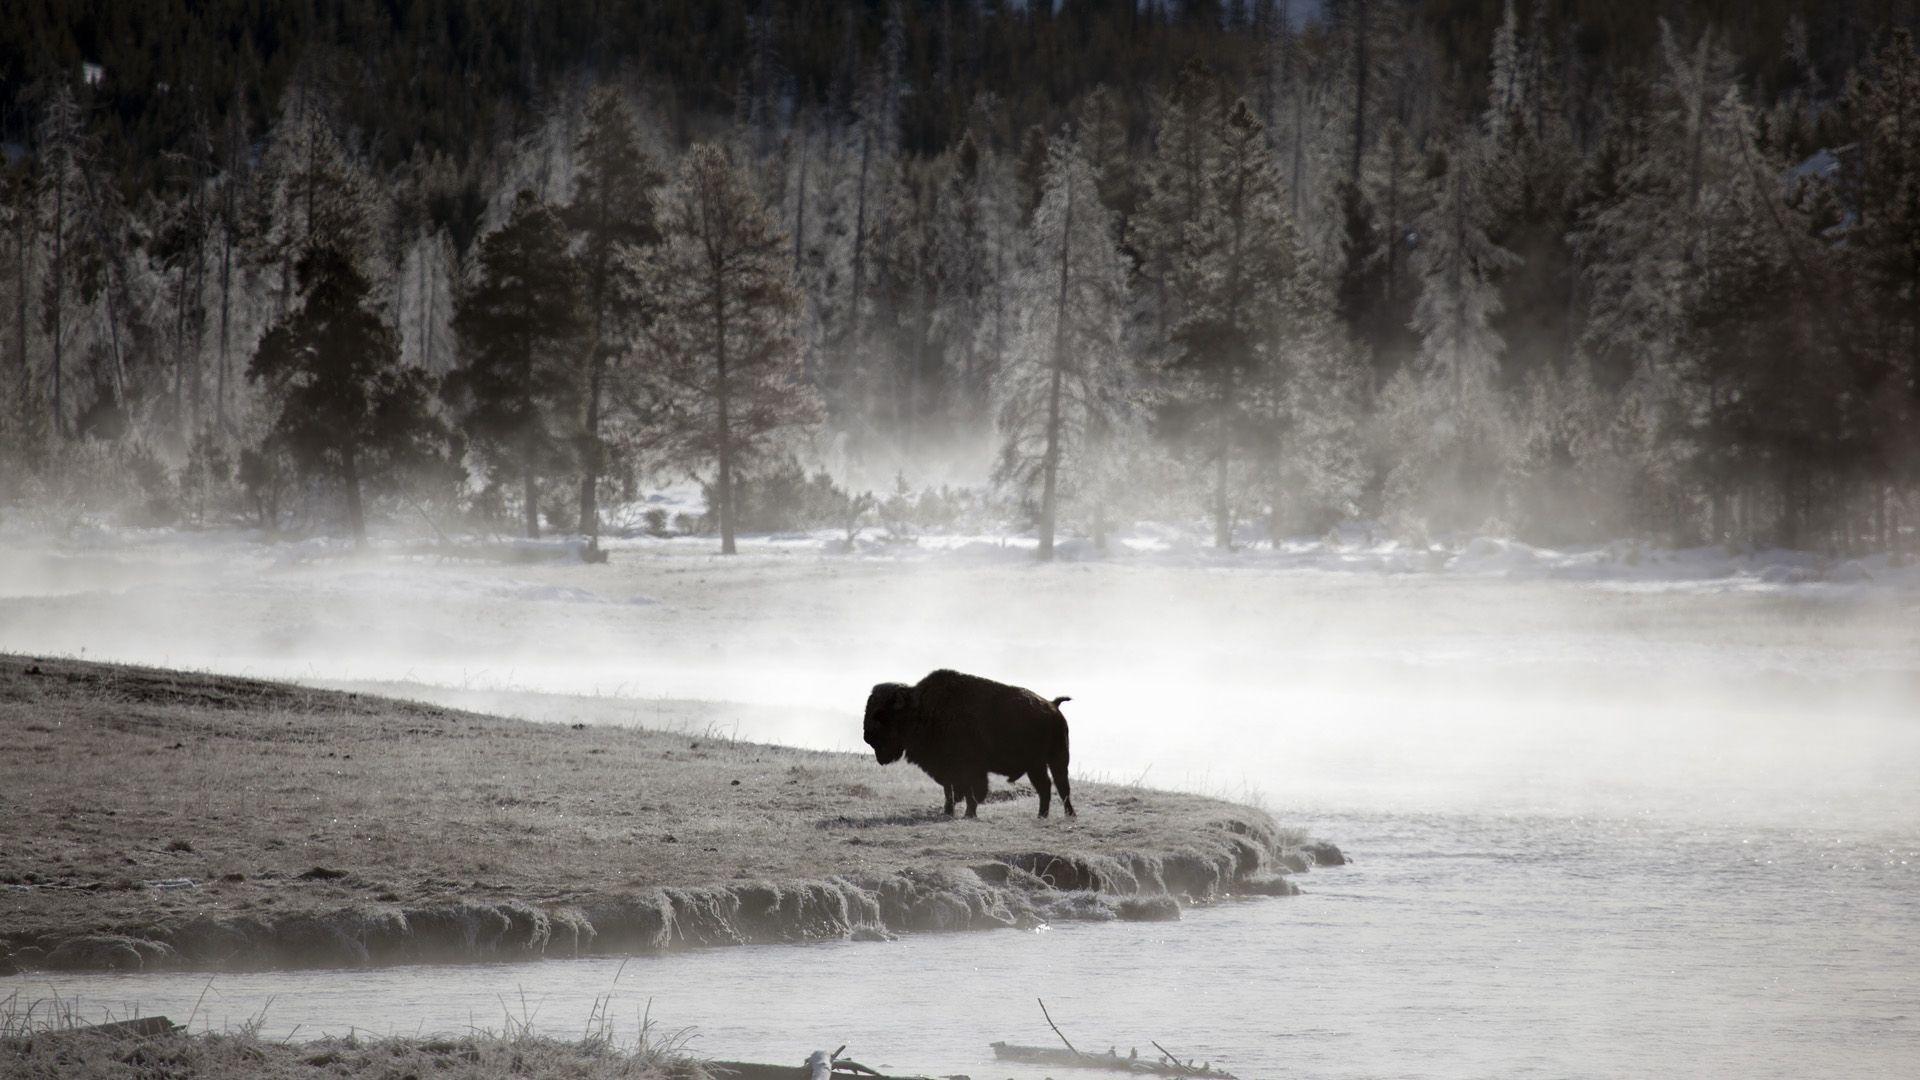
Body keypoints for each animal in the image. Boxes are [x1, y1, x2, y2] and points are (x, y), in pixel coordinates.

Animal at [862, 669, 1075, 818]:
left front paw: (969, 813)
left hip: (1056, 759)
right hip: (1036, 765)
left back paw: (1068, 814)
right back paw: (1042, 815)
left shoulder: (970, 770)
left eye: (880, 714)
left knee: (1061, 785)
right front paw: (948, 811)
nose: (867, 735)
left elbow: (970, 792)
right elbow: (950, 791)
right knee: (1046, 787)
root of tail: (1053, 706)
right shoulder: (947, 770)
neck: (920, 709)